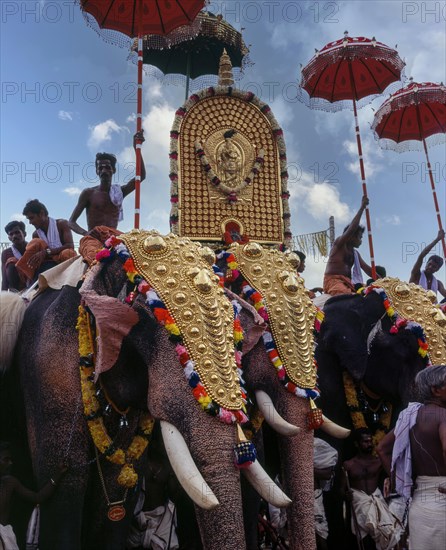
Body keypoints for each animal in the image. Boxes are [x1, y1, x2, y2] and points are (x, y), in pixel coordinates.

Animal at [1, 233, 294, 550]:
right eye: (147, 321)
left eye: (236, 325)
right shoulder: (48, 365)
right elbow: (66, 485)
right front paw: (65, 470)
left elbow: (116, 486)